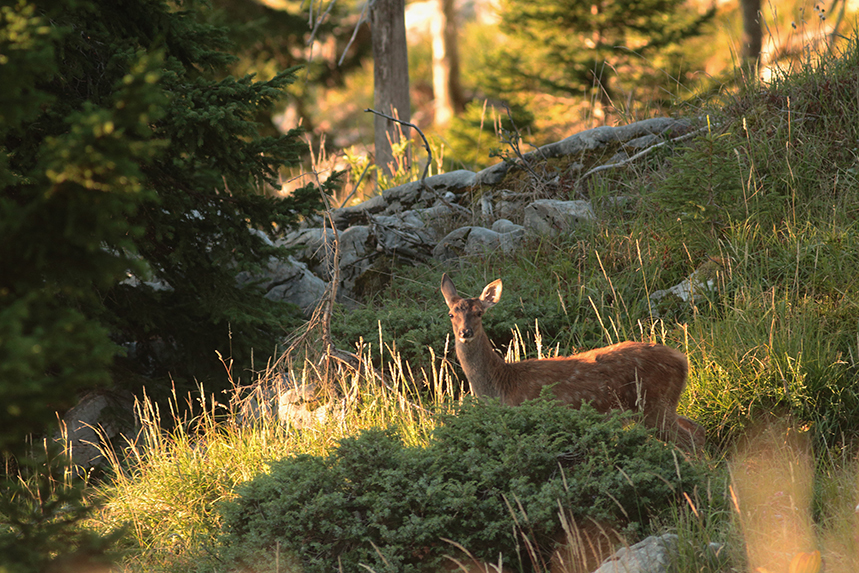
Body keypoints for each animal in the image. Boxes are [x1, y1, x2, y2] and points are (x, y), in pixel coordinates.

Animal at [444, 272, 704, 452]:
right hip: (664, 404)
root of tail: (682, 360)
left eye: (479, 313)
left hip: (653, 404)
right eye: (451, 313)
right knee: (696, 429)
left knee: (690, 442)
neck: (502, 385)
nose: (465, 332)